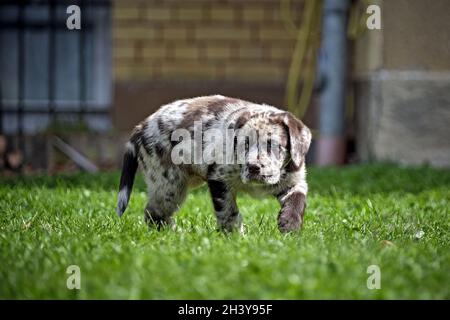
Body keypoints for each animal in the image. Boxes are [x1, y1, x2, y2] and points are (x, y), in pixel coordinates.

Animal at [118, 95, 312, 232]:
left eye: (273, 145)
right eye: (245, 144)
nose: (253, 168)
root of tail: (141, 127)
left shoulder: (294, 180)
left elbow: (297, 199)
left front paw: (290, 224)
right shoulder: (219, 178)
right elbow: (228, 211)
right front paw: (235, 236)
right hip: (169, 185)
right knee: (154, 213)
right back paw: (172, 234)